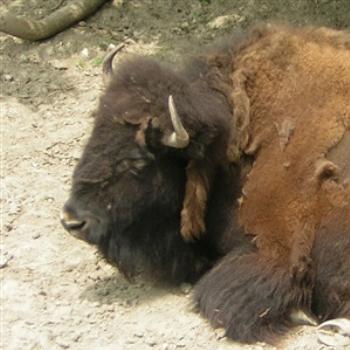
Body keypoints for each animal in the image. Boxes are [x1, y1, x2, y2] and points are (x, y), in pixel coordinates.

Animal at [60, 24, 350, 344]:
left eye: (135, 161)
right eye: (93, 138)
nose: (72, 221)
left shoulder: (275, 247)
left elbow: (214, 297)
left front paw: (302, 313)